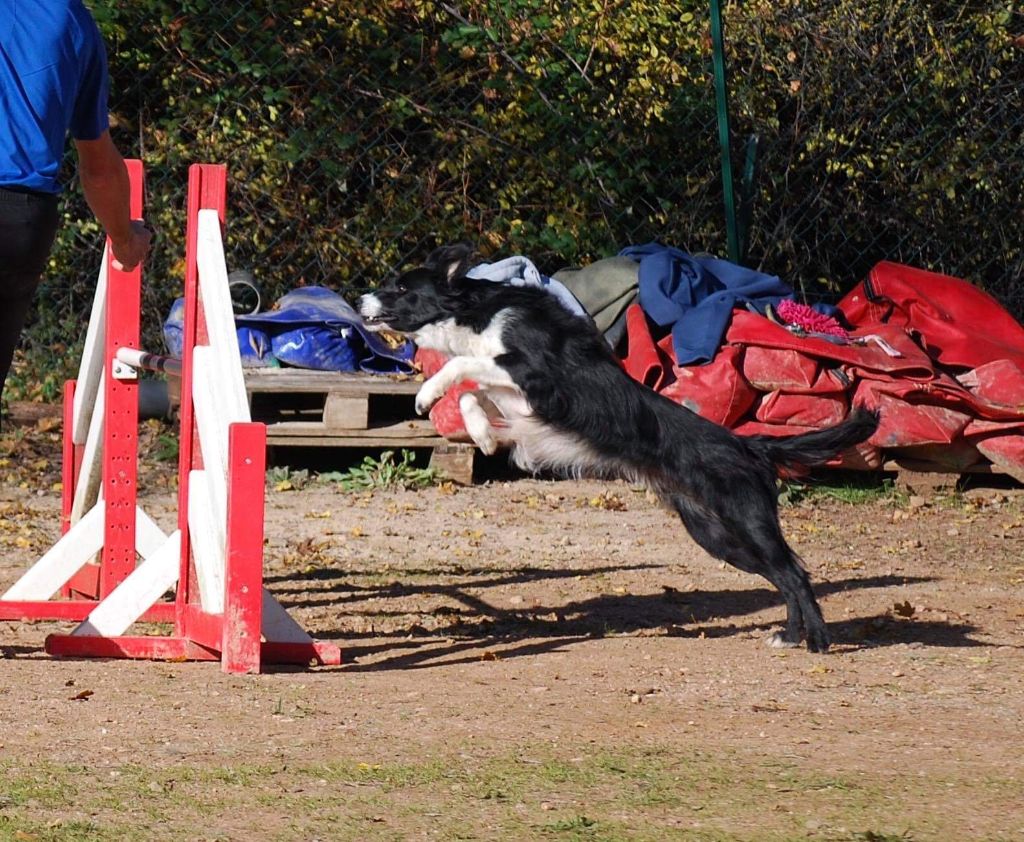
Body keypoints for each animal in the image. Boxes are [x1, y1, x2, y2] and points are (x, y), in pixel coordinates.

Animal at [360, 243, 880, 651]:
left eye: (401, 287)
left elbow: (460, 366)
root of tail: (750, 446)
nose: (360, 298)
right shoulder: (515, 398)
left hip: (746, 523)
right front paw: (482, 434)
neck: (473, 311)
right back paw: (789, 636)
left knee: (795, 573)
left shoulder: (535, 374)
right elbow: (470, 390)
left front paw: (426, 395)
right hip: (716, 534)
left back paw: (816, 641)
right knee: (784, 577)